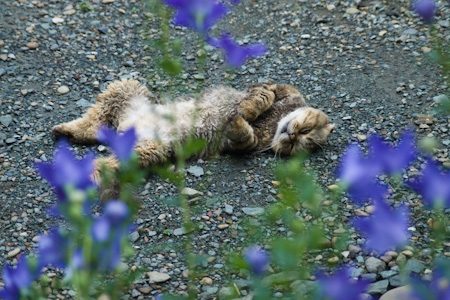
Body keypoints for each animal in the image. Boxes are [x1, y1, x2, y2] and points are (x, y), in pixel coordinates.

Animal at [52, 77, 334, 182]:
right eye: (306, 131)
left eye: (299, 146)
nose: (293, 137)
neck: (274, 124)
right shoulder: (270, 90)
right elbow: (261, 97)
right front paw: (251, 108)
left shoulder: (243, 144)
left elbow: (246, 135)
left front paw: (240, 122)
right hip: (126, 88)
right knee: (94, 119)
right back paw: (66, 130)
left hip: (146, 150)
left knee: (103, 155)